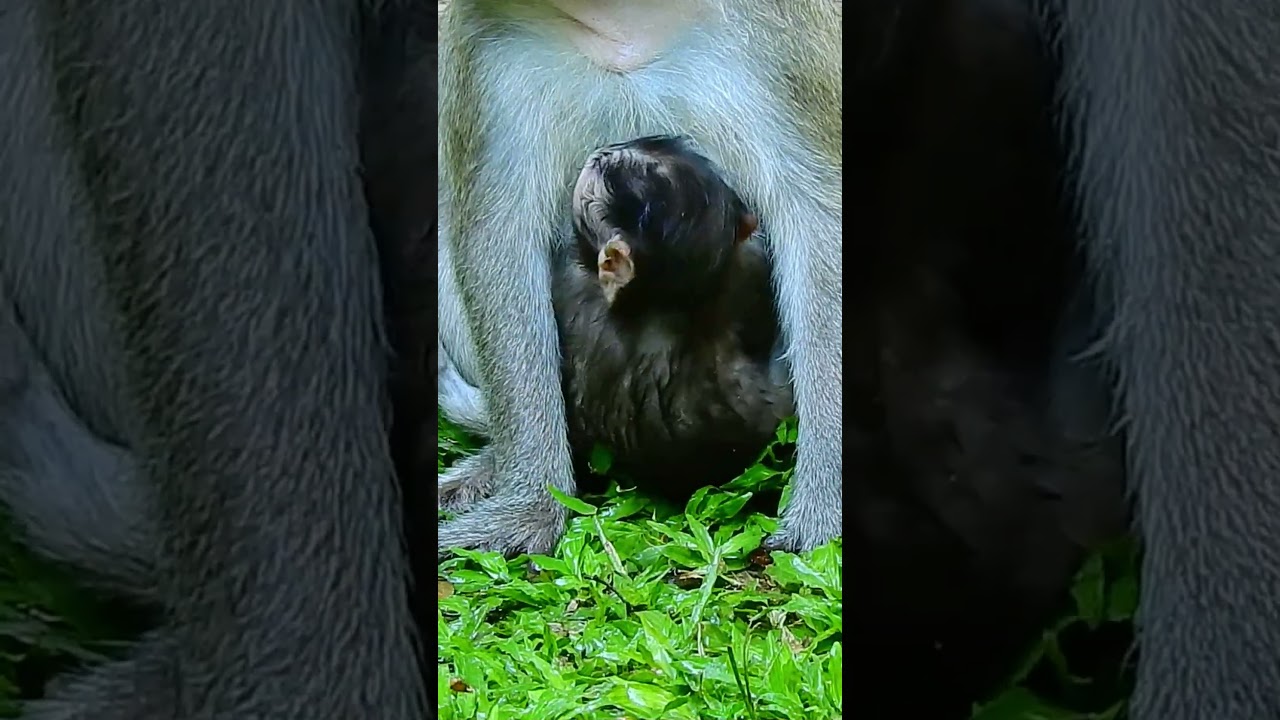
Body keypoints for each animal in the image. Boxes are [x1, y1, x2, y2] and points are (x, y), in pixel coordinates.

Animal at [436, 0, 843, 559]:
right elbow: (498, 233)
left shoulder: (786, 33)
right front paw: (528, 502)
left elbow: (819, 221)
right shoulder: (485, 34)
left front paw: (823, 517)